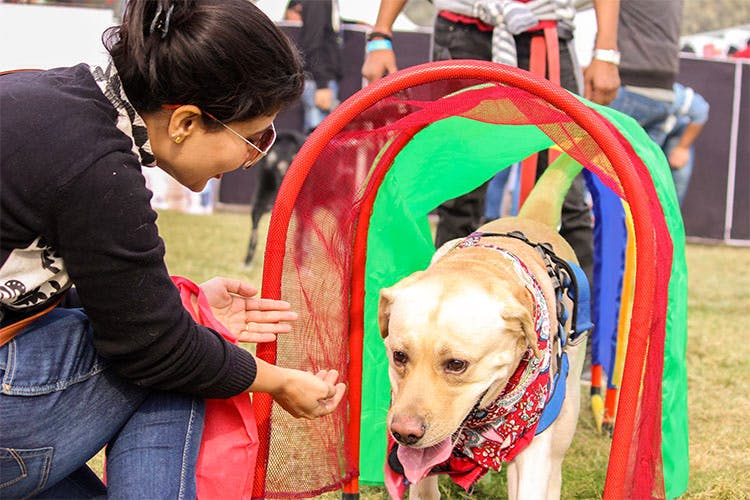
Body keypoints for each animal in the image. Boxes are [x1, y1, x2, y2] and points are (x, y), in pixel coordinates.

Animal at [382, 155, 588, 496]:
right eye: (399, 356)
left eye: (456, 364)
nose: (404, 433)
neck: (479, 266)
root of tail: (532, 220)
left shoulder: (534, 453)